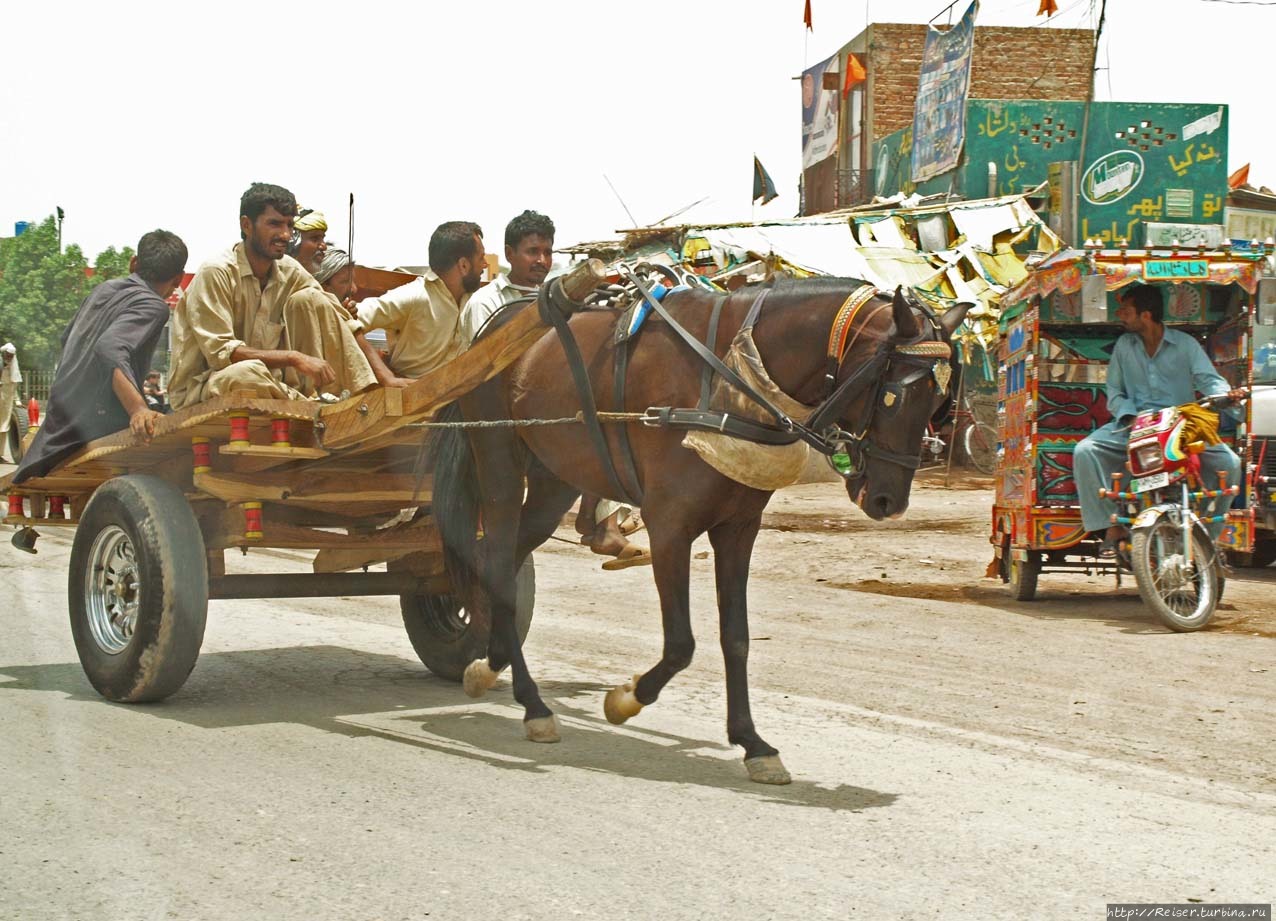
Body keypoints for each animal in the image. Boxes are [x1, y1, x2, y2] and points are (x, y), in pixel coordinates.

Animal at [428, 272, 964, 780]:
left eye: (940, 398)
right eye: (895, 396)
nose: (889, 500)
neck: (732, 373)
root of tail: (494, 327)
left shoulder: (739, 527)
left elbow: (737, 638)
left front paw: (753, 743)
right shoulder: (669, 524)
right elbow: (682, 643)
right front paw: (625, 699)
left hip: (553, 478)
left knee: (506, 560)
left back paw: (491, 664)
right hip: (498, 460)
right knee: (498, 559)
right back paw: (533, 703)